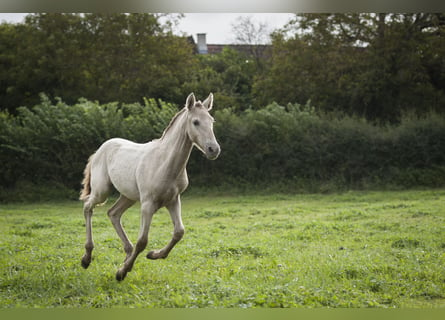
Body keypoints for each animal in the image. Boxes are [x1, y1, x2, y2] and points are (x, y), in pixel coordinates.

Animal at [79, 92, 220, 280]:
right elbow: (142, 240)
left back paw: (127, 252)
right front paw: (122, 272)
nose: (213, 149)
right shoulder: (148, 203)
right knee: (88, 207)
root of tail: (99, 150)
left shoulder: (173, 200)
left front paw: (153, 255)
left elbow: (179, 232)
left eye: (211, 120)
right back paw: (87, 258)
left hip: (129, 196)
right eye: (196, 122)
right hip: (102, 191)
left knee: (113, 213)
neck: (165, 163)